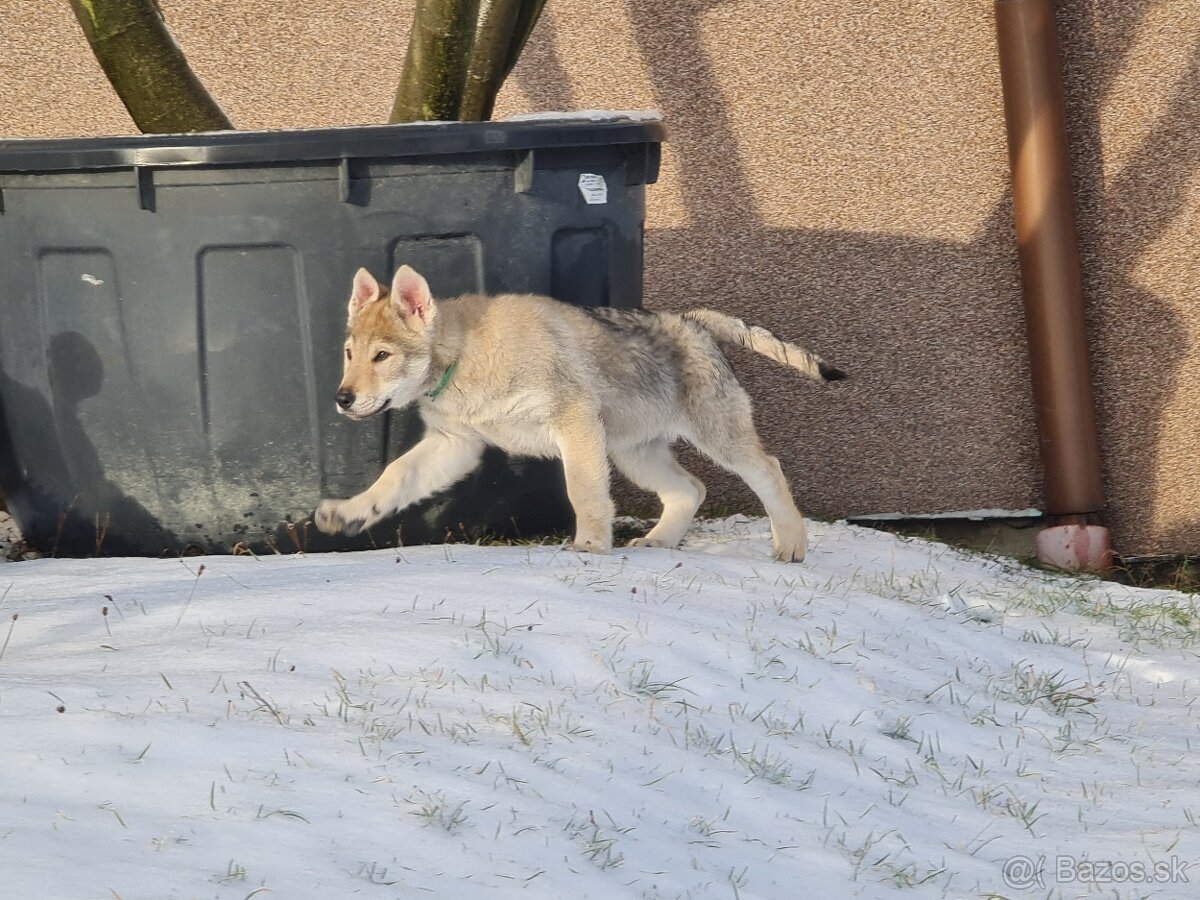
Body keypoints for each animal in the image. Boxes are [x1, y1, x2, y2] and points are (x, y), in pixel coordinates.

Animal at [314, 264, 849, 561]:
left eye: (381, 356)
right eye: (349, 354)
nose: (341, 398)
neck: (466, 357)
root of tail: (692, 322)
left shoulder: (574, 423)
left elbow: (583, 491)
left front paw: (589, 546)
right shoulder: (455, 445)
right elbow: (394, 479)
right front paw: (349, 514)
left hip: (716, 438)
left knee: (769, 471)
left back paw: (791, 546)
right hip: (634, 453)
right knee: (690, 489)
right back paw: (658, 542)